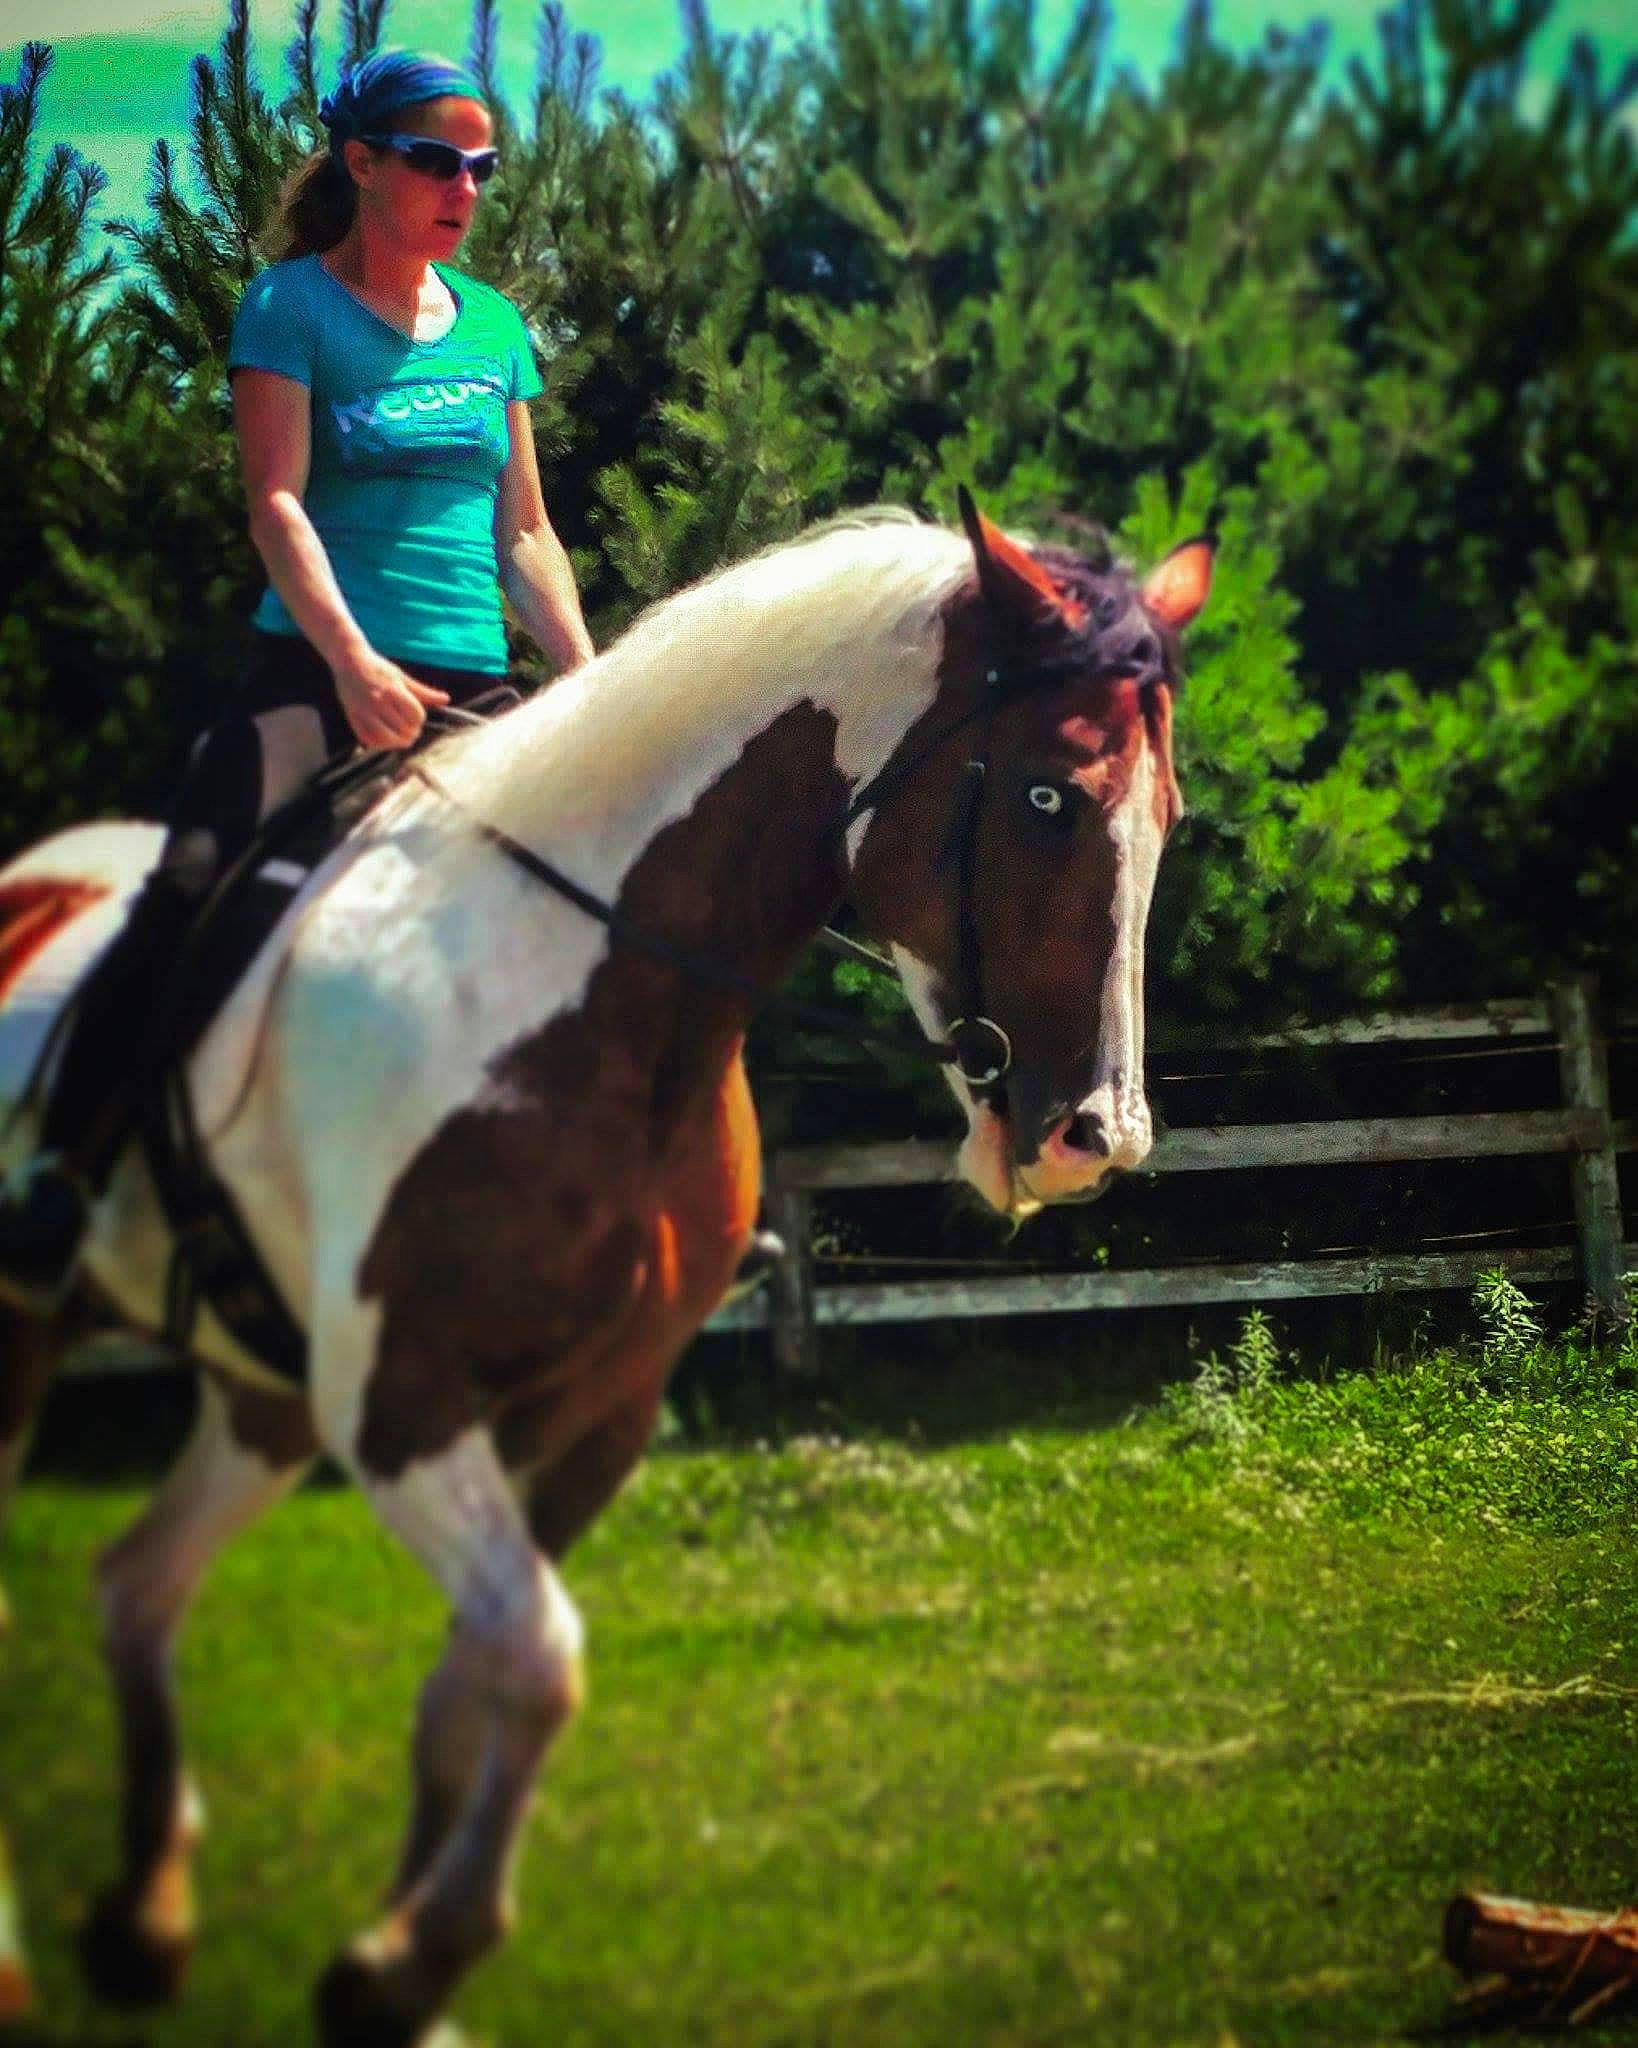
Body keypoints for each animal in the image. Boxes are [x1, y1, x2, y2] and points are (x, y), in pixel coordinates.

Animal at [0, 498, 1212, 2043]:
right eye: (1051, 797)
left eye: (1166, 816)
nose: (1089, 1138)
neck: (577, 997)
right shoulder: (399, 1404)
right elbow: (538, 1655)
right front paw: (416, 1953)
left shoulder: (593, 1413)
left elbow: (475, 1687)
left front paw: (391, 1973)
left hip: (258, 1400)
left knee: (137, 1584)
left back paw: (147, 1918)